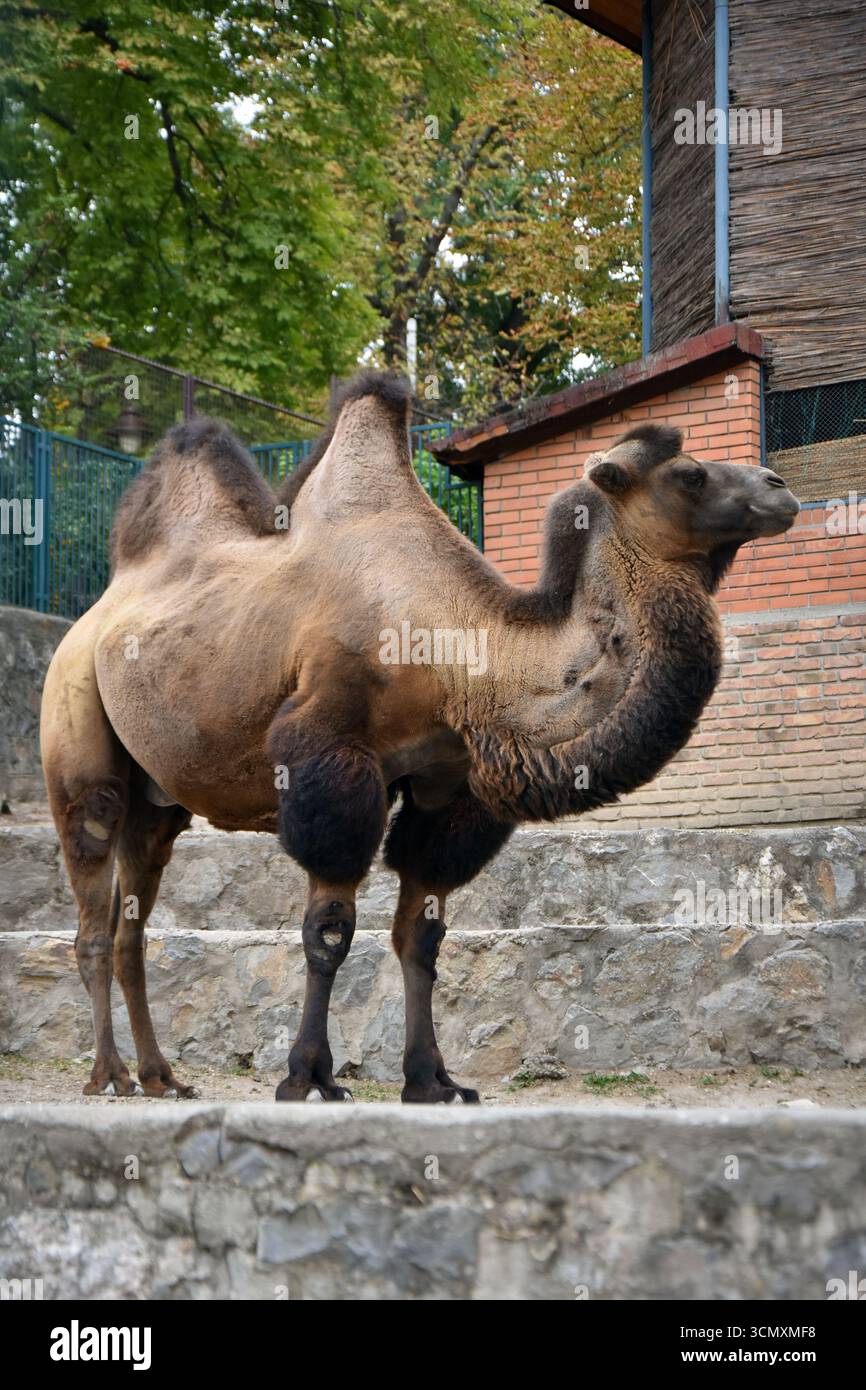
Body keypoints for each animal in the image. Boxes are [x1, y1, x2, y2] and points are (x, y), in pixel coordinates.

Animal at [40, 372, 799, 1103]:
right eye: (690, 476)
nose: (780, 486)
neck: (460, 653)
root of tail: (99, 611)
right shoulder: (330, 760)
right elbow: (329, 931)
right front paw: (308, 1078)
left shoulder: (447, 786)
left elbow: (423, 938)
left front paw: (432, 1082)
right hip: (75, 726)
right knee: (93, 905)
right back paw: (109, 1074)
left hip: (158, 799)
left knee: (133, 923)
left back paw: (161, 1077)